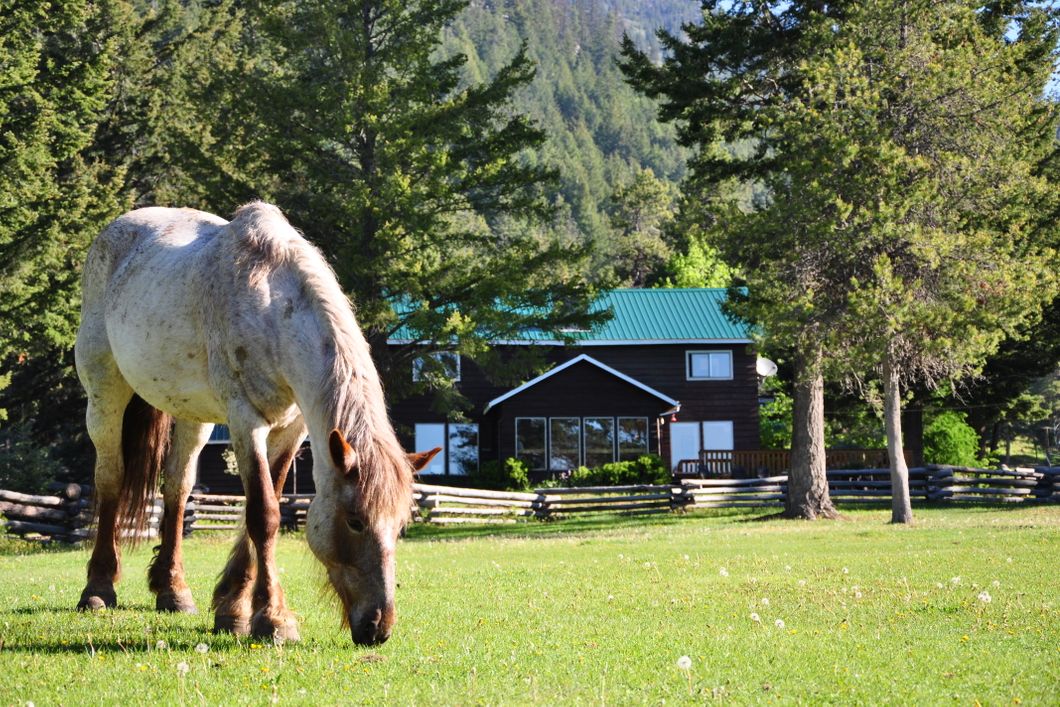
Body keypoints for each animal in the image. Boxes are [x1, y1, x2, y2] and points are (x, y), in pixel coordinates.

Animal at [74, 201, 439, 645]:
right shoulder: (245, 421)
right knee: (110, 478)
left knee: (177, 487)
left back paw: (172, 590)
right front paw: (273, 619)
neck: (269, 303)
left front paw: (232, 607)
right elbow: (264, 515)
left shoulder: (291, 429)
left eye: (401, 523)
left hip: (193, 415)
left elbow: (267, 504)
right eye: (355, 521)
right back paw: (98, 588)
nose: (378, 627)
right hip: (104, 393)